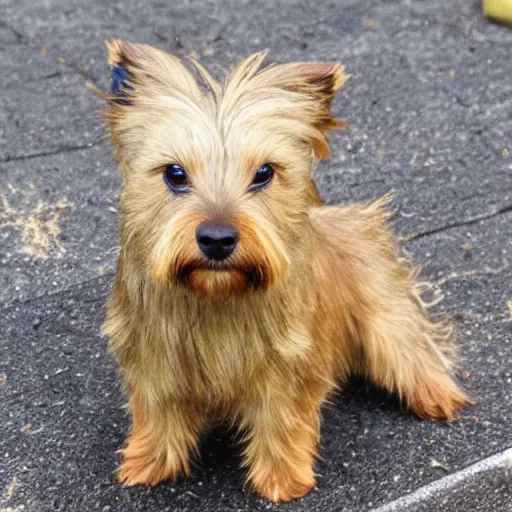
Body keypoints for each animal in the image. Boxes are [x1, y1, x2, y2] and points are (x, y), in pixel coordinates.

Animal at [98, 41, 470, 504]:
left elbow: (282, 419)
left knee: (412, 348)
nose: (217, 239)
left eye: (263, 173)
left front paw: (281, 478)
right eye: (175, 174)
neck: (218, 296)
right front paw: (149, 462)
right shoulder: (154, 358)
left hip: (386, 317)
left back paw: (437, 394)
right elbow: (157, 413)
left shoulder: (290, 367)